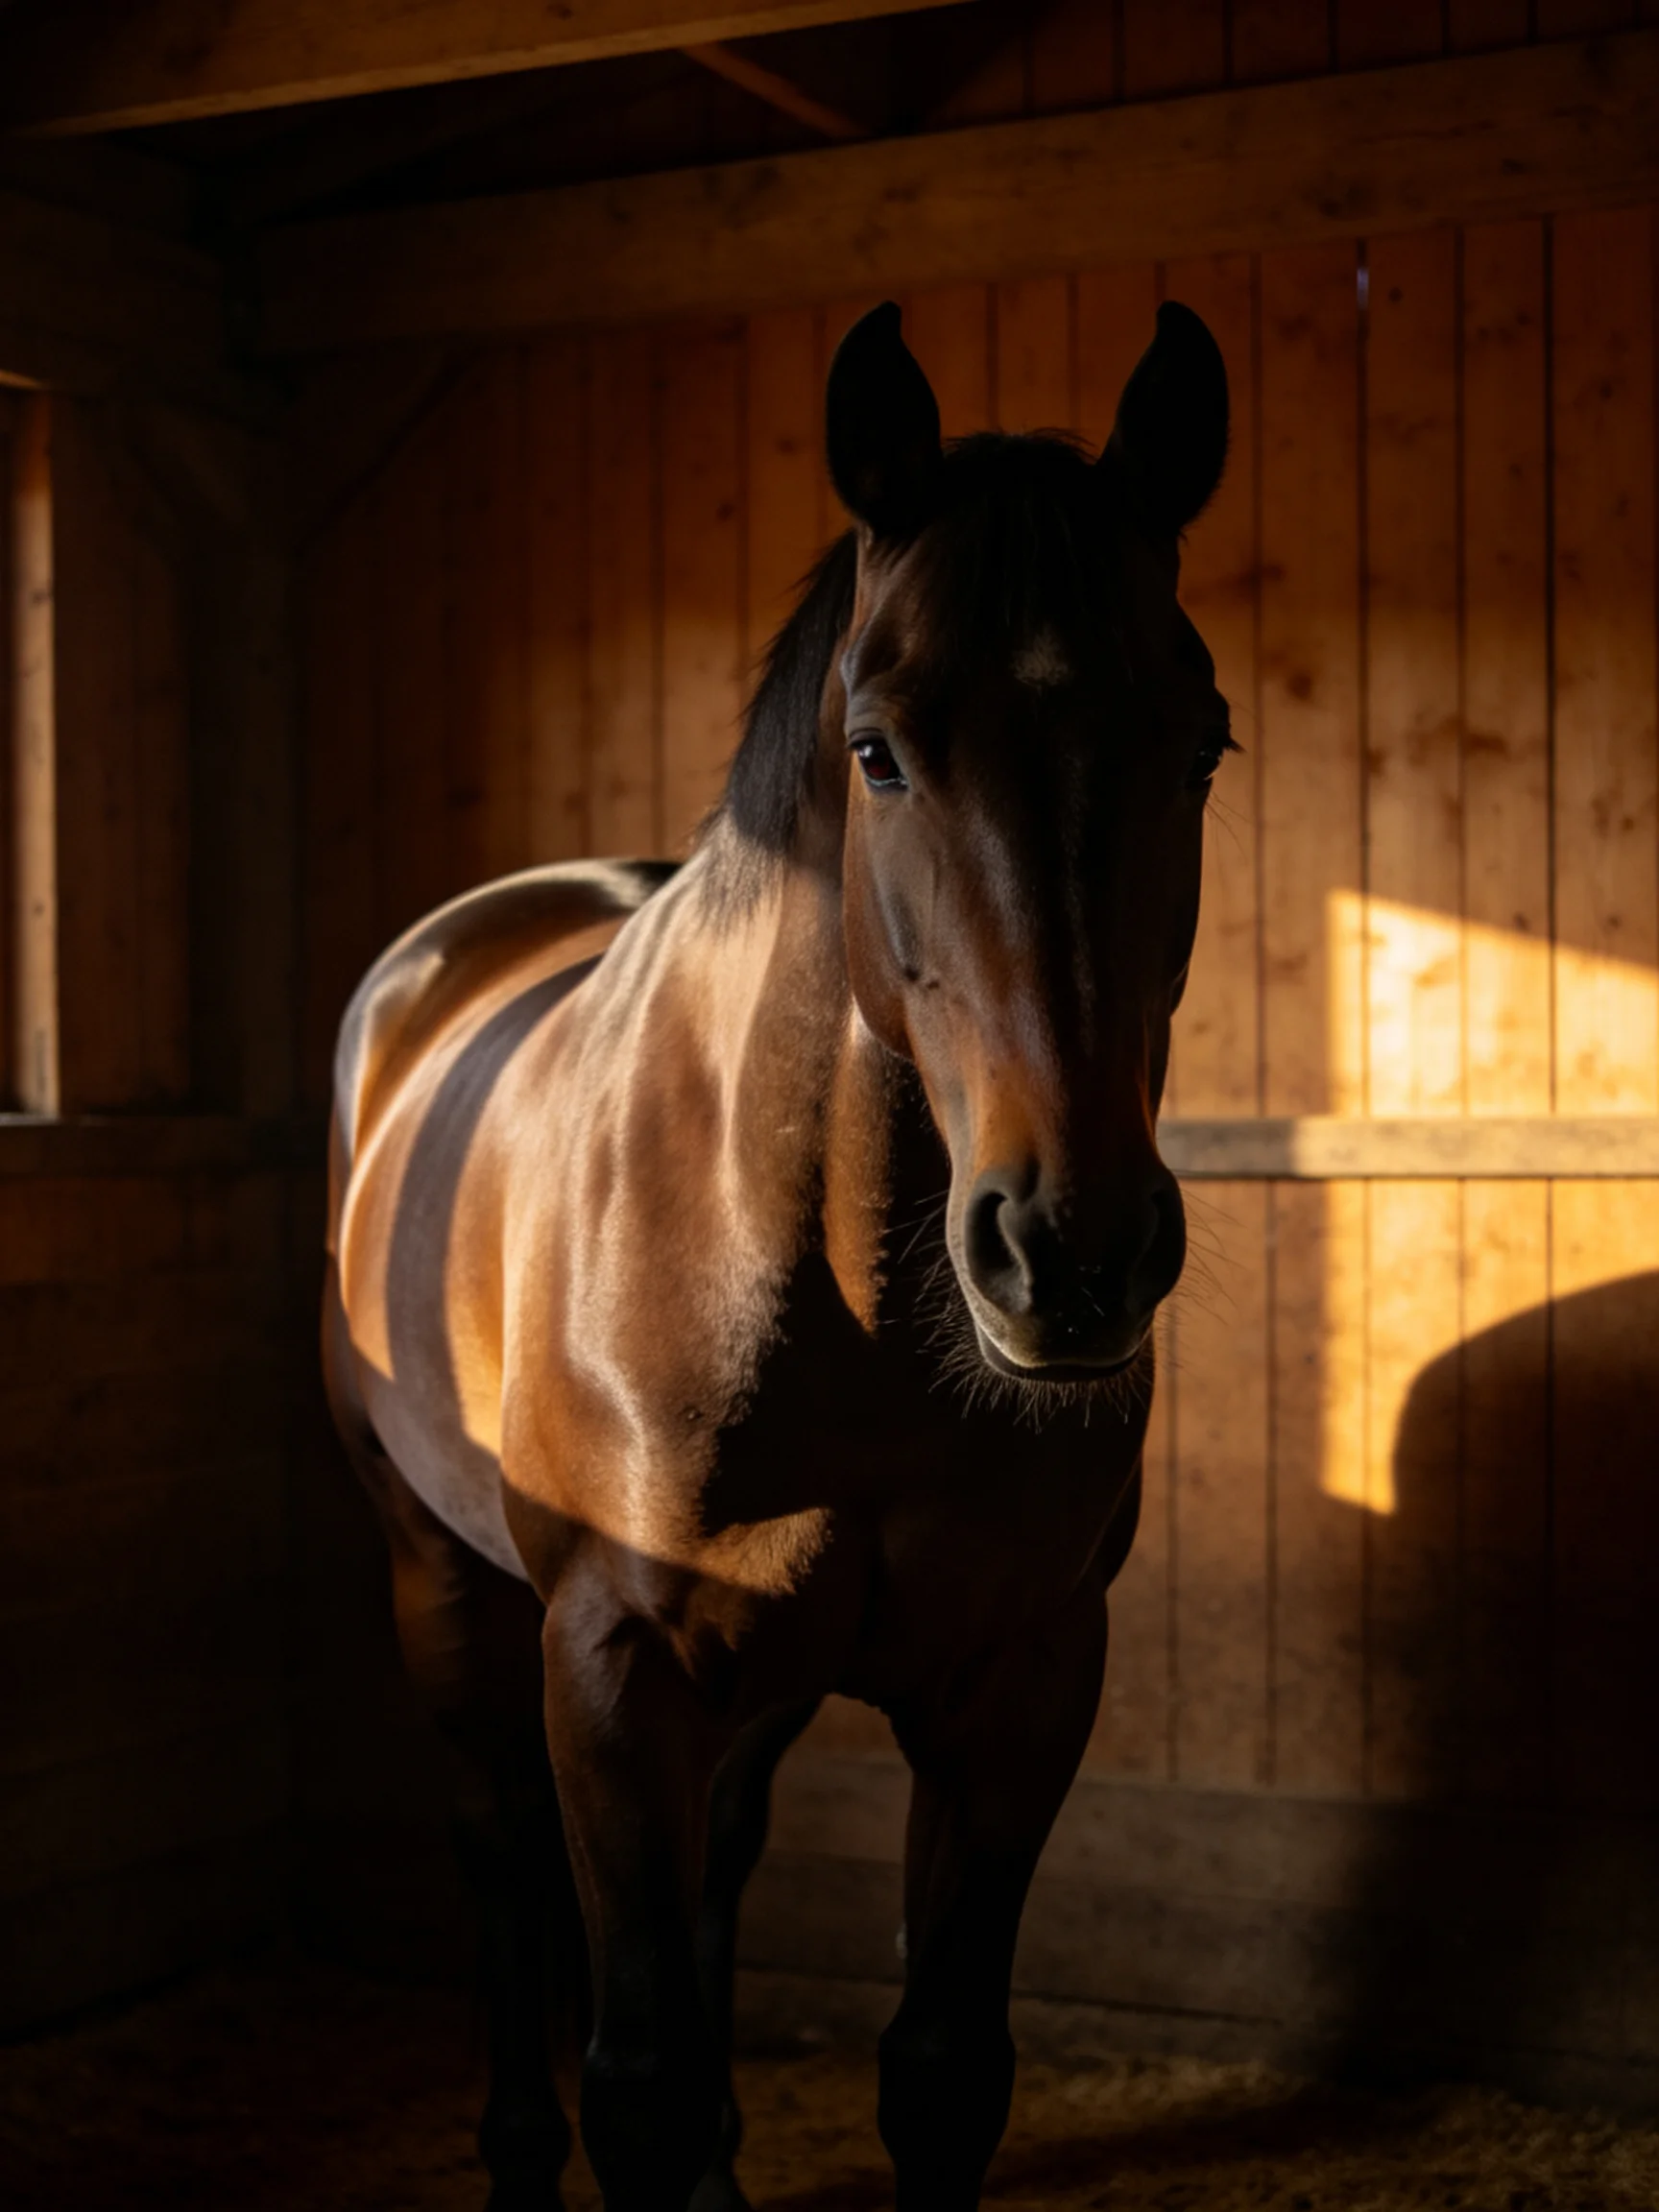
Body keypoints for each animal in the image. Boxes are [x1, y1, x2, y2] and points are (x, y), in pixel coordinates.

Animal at [323, 297, 1231, 2212]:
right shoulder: (611, 1670)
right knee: (494, 1853)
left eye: (1200, 741)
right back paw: (512, 2156)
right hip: (438, 1582)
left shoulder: (1020, 1677)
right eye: (876, 747)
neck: (840, 1299)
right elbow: (639, 2075)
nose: (1070, 1250)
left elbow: (942, 2073)